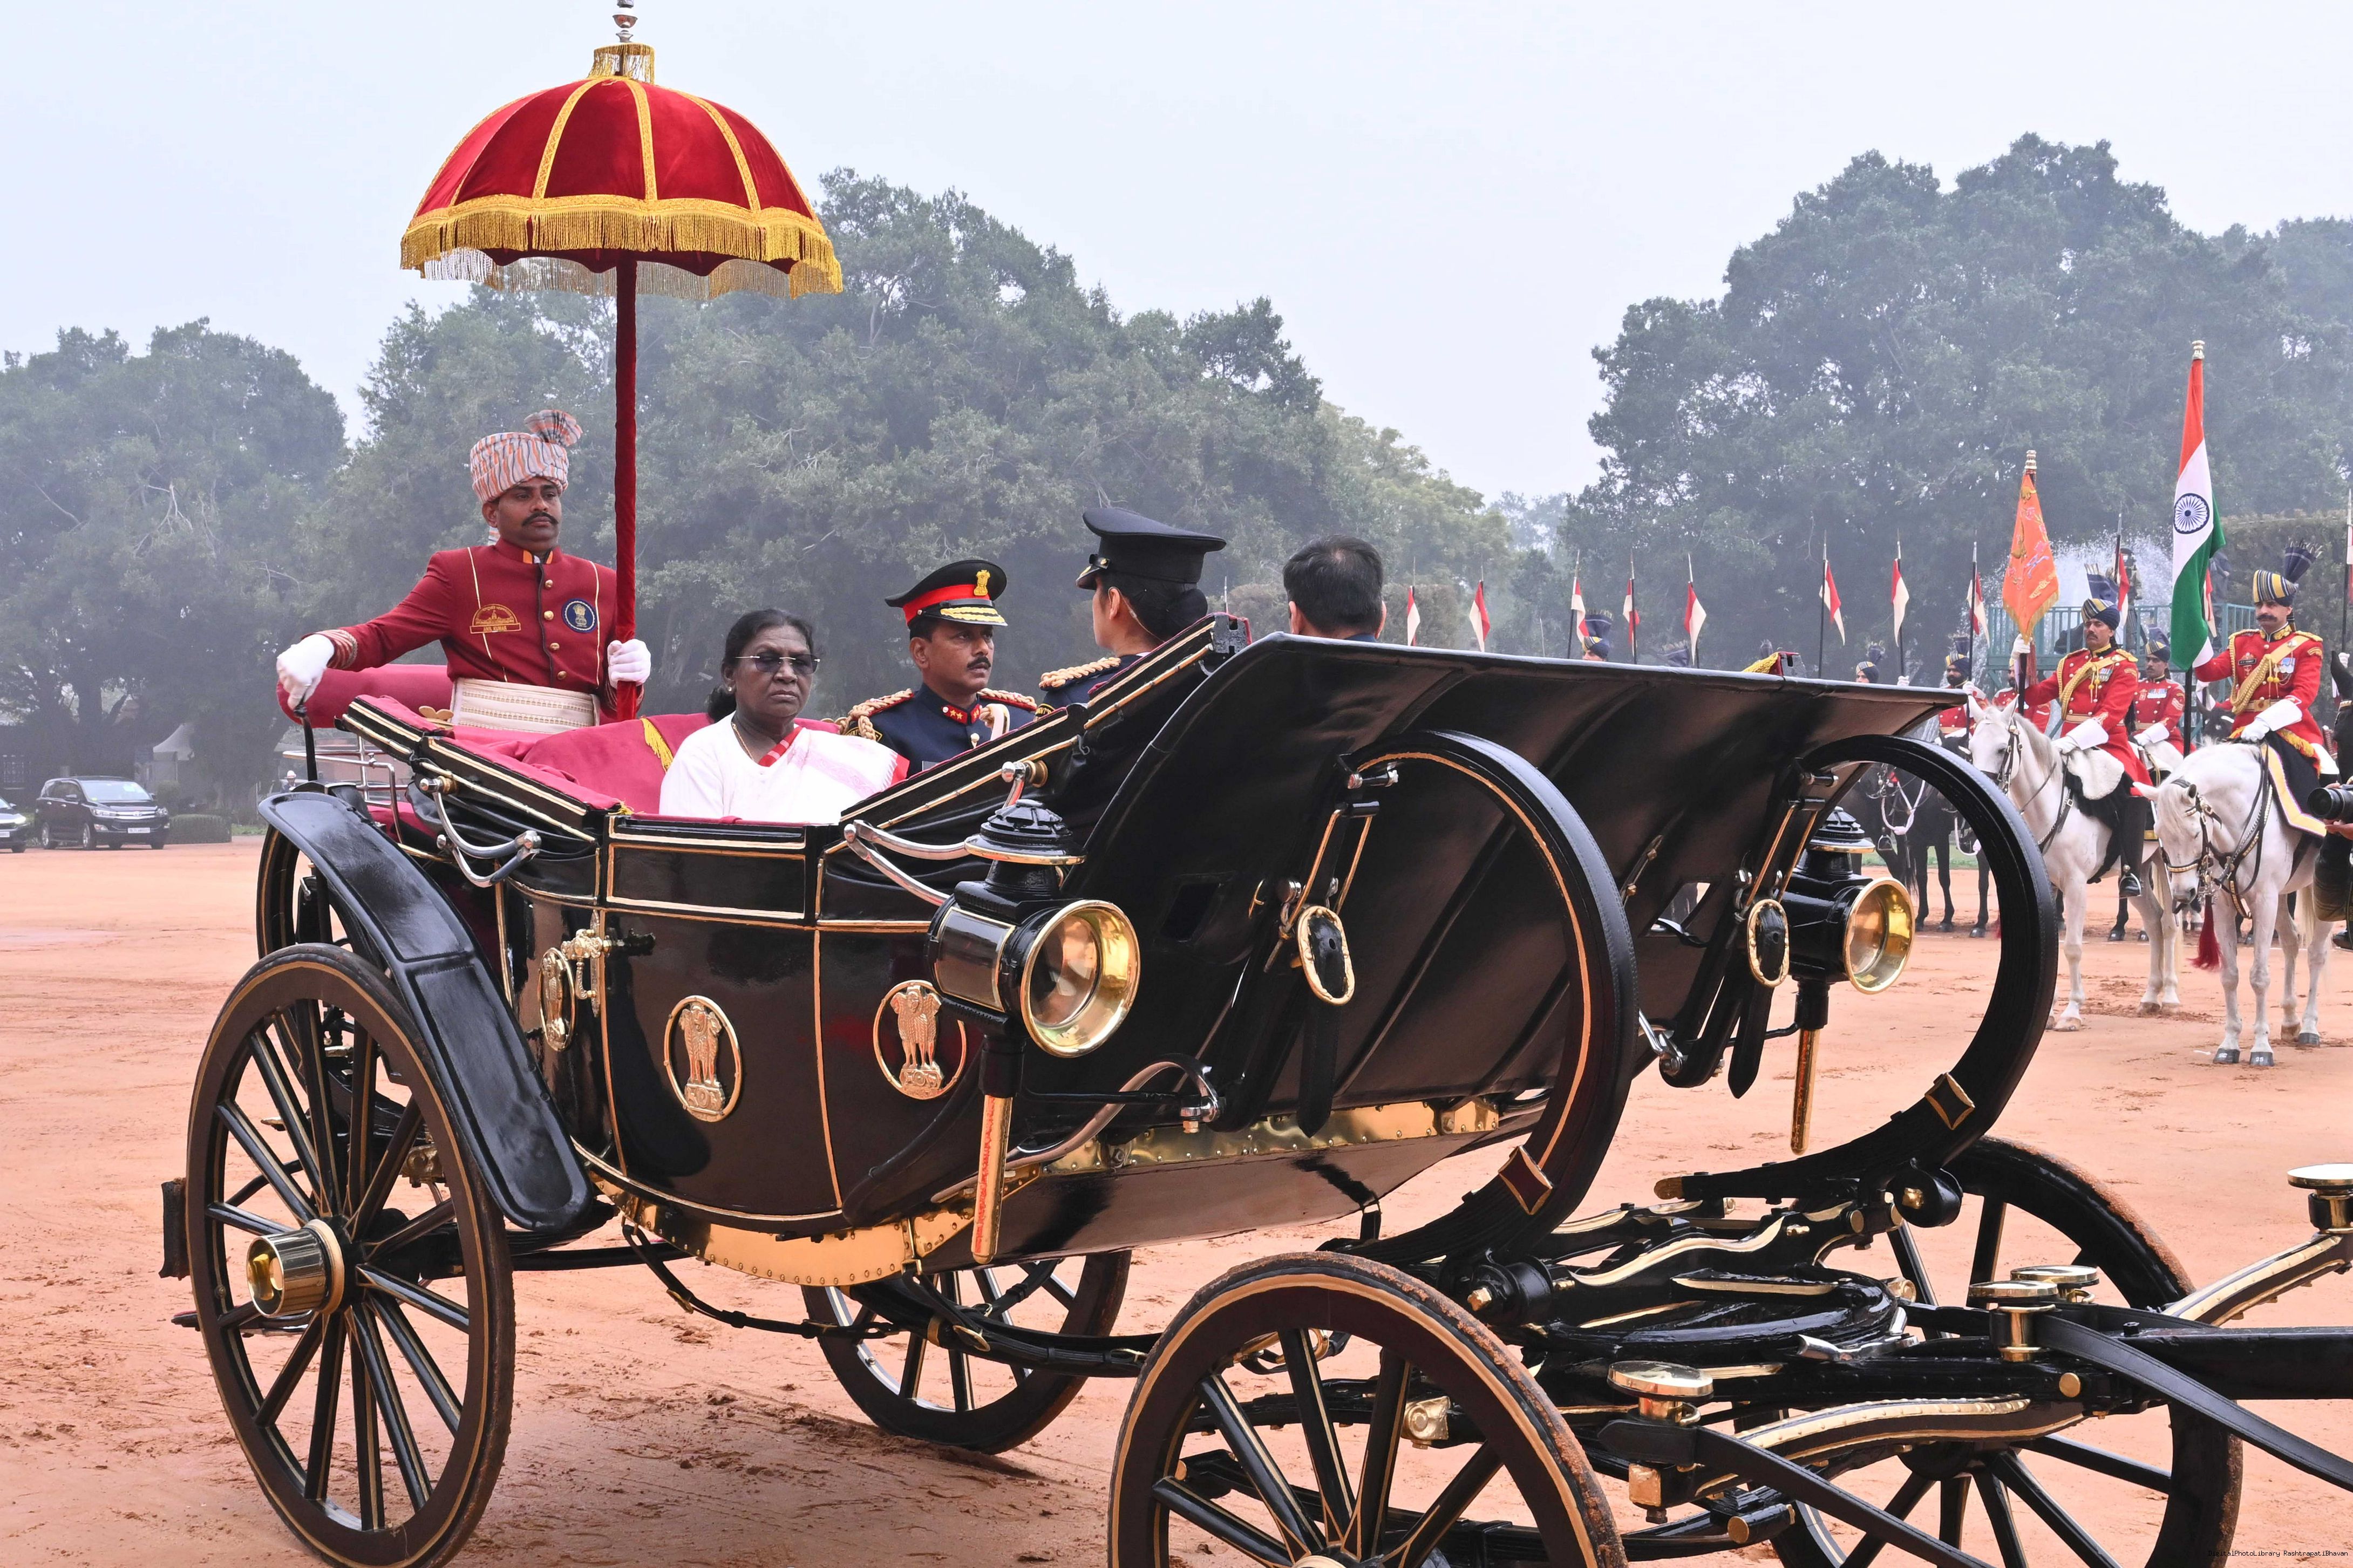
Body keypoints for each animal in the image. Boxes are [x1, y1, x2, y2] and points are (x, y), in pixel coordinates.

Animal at [1965, 692, 2179, 1028]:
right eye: (1972, 749)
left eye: (2001, 749)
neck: (2050, 806)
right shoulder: (2050, 886)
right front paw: (2050, 1011)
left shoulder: (2076, 885)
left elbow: (2073, 947)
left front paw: (2072, 1012)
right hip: (2140, 869)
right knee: (2155, 921)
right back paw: (2150, 997)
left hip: (2169, 864)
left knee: (2170, 923)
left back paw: (2169, 996)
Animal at [2145, 741, 2332, 1066]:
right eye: (2161, 835)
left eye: (2195, 833)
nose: (2182, 895)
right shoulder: (2224, 904)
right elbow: (2230, 975)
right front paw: (2230, 1044)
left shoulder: (2264, 900)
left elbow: (2259, 976)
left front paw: (2261, 1048)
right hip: (2281, 896)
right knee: (2292, 941)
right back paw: (2290, 1021)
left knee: (2316, 954)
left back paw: (2310, 1028)